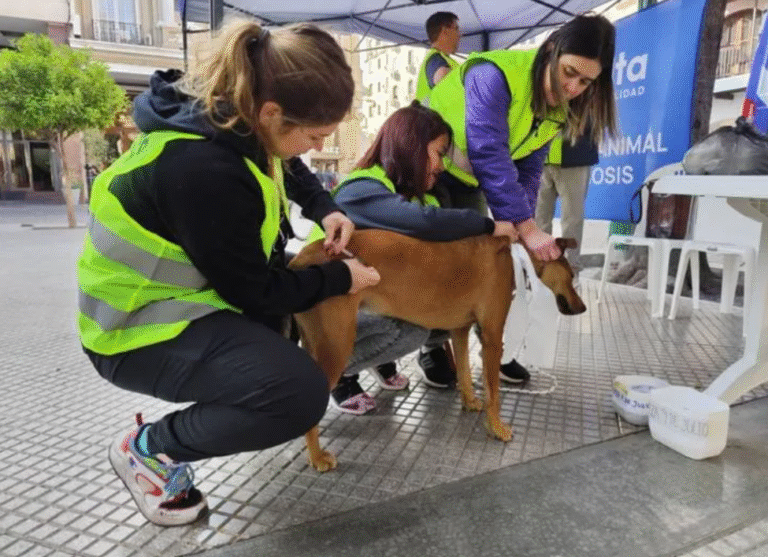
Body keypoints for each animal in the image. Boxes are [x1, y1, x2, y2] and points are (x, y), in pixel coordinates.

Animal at [288, 229, 586, 471]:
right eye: (571, 275)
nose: (582, 308)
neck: (513, 256)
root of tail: (300, 259)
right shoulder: (492, 338)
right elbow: (494, 393)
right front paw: (497, 427)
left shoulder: (461, 331)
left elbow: (464, 371)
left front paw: (470, 401)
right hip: (336, 344)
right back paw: (317, 457)